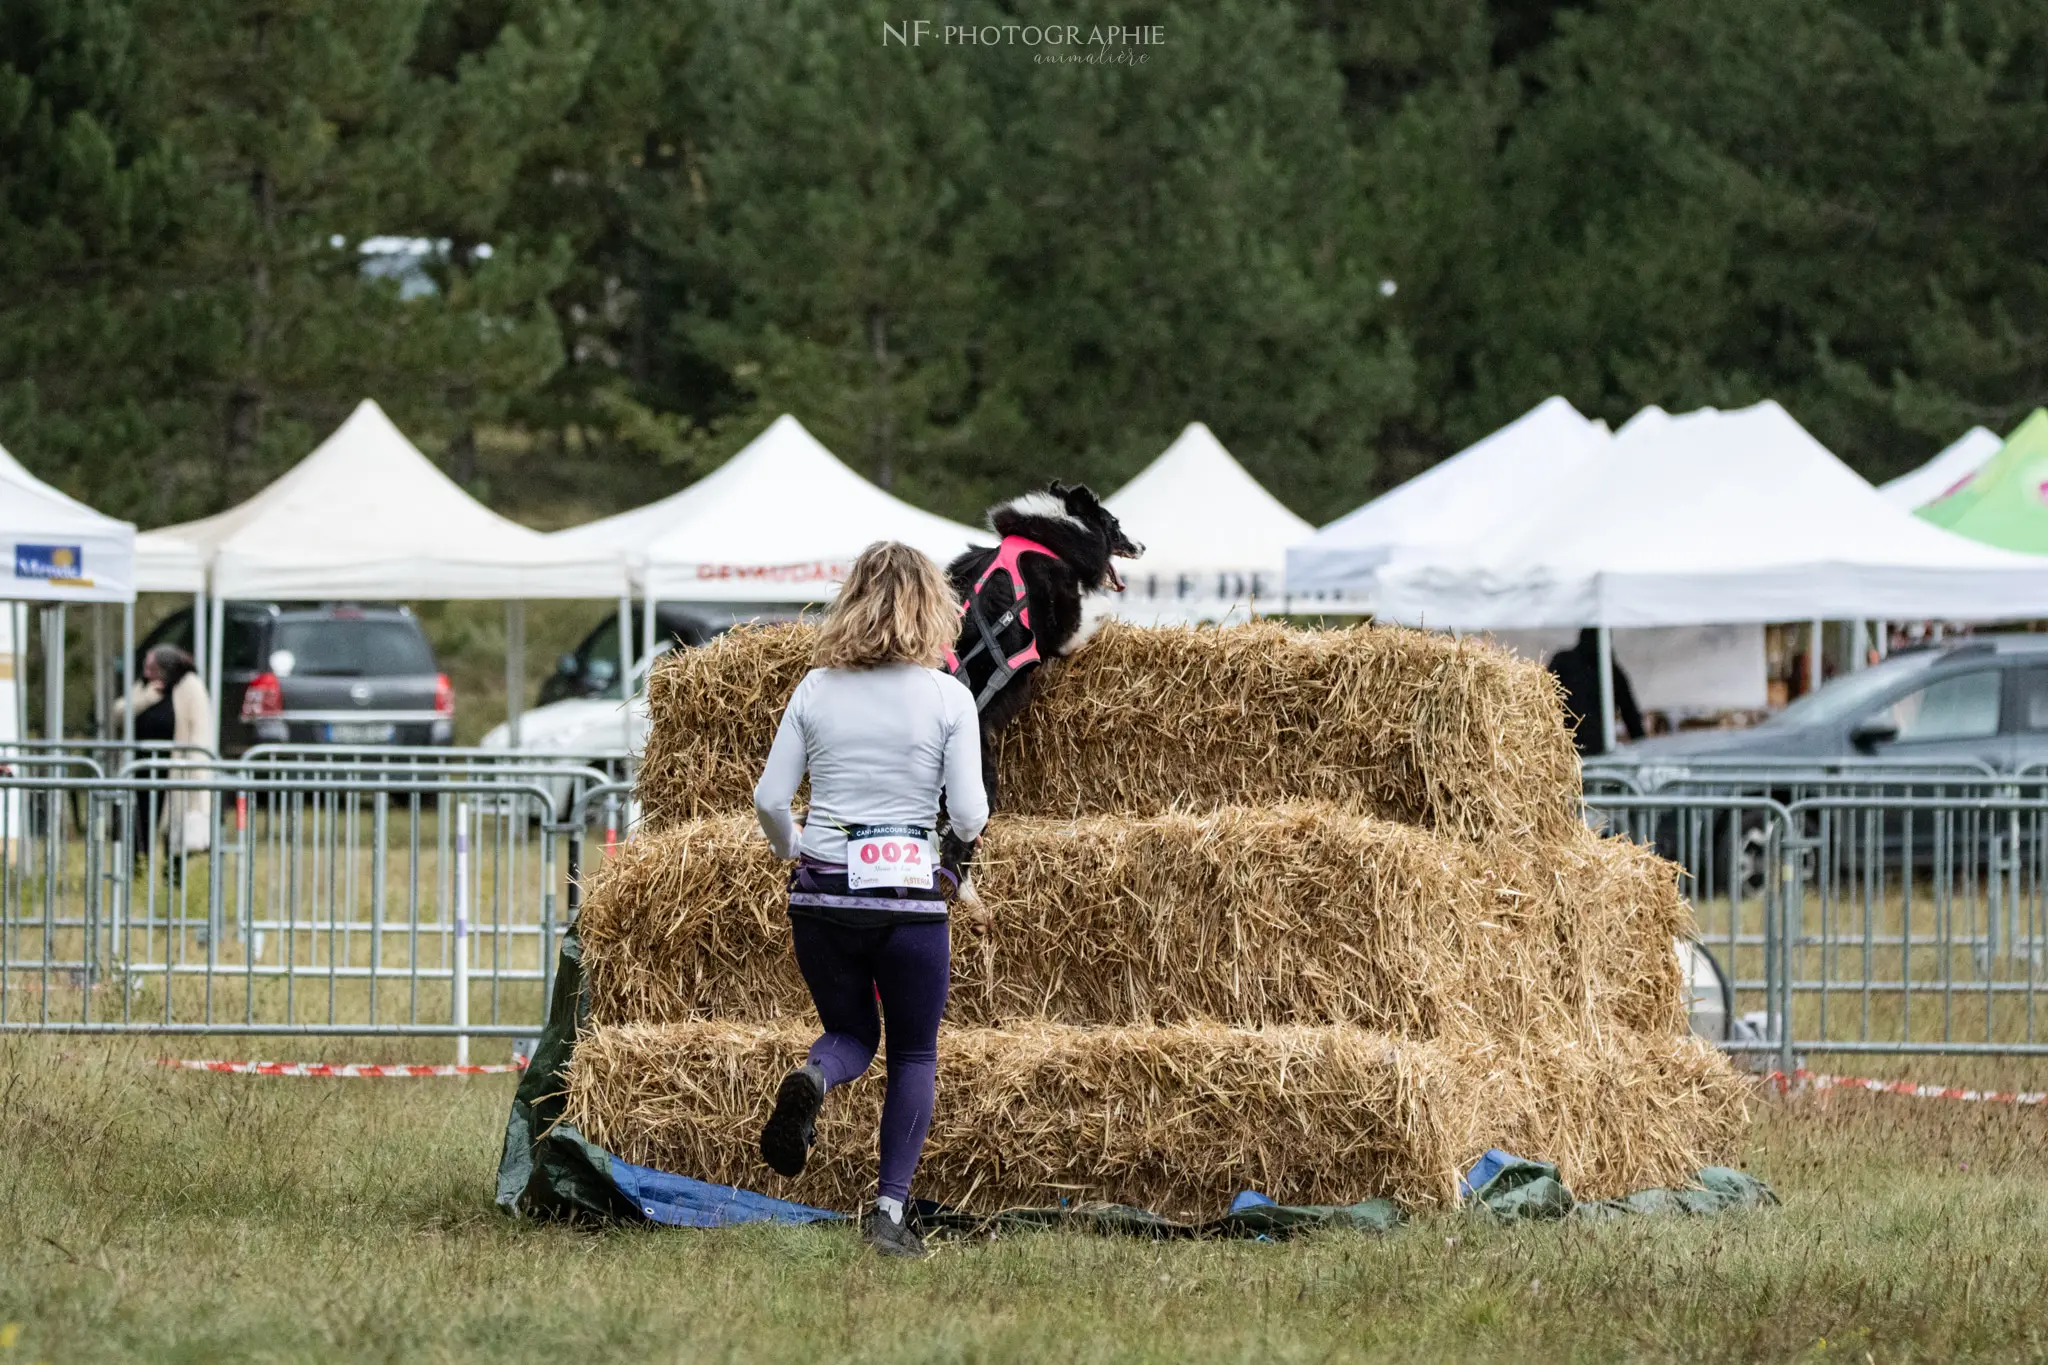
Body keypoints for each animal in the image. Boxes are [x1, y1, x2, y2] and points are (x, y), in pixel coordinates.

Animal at [937, 480, 1138, 896]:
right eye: (1114, 524)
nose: (1141, 546)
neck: (1050, 535)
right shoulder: (1066, 628)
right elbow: (1100, 609)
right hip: (978, 783)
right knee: (957, 848)